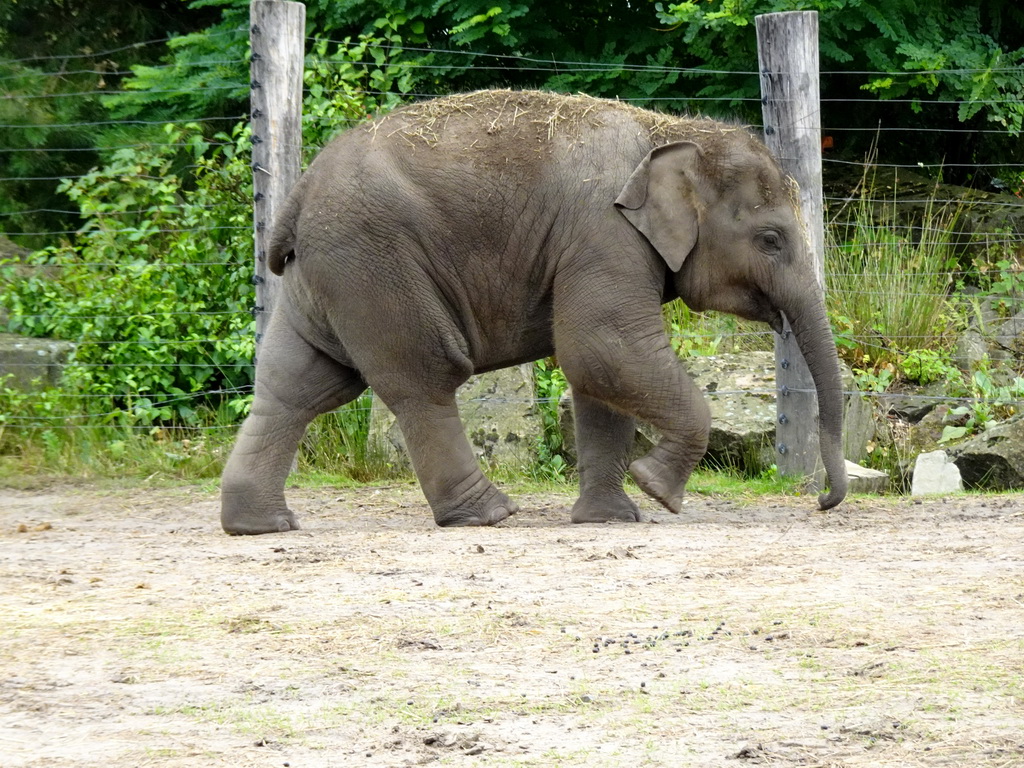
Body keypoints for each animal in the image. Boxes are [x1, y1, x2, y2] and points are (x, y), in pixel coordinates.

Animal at [224, 90, 847, 536]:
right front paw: (657, 491)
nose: (822, 501)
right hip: (375, 266)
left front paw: (611, 519)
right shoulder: (604, 233)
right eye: (771, 240)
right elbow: (601, 347)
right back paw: (491, 515)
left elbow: (598, 376)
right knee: (424, 379)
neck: (670, 131)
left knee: (297, 384)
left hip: (326, 278)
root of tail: (298, 193)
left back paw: (261, 525)